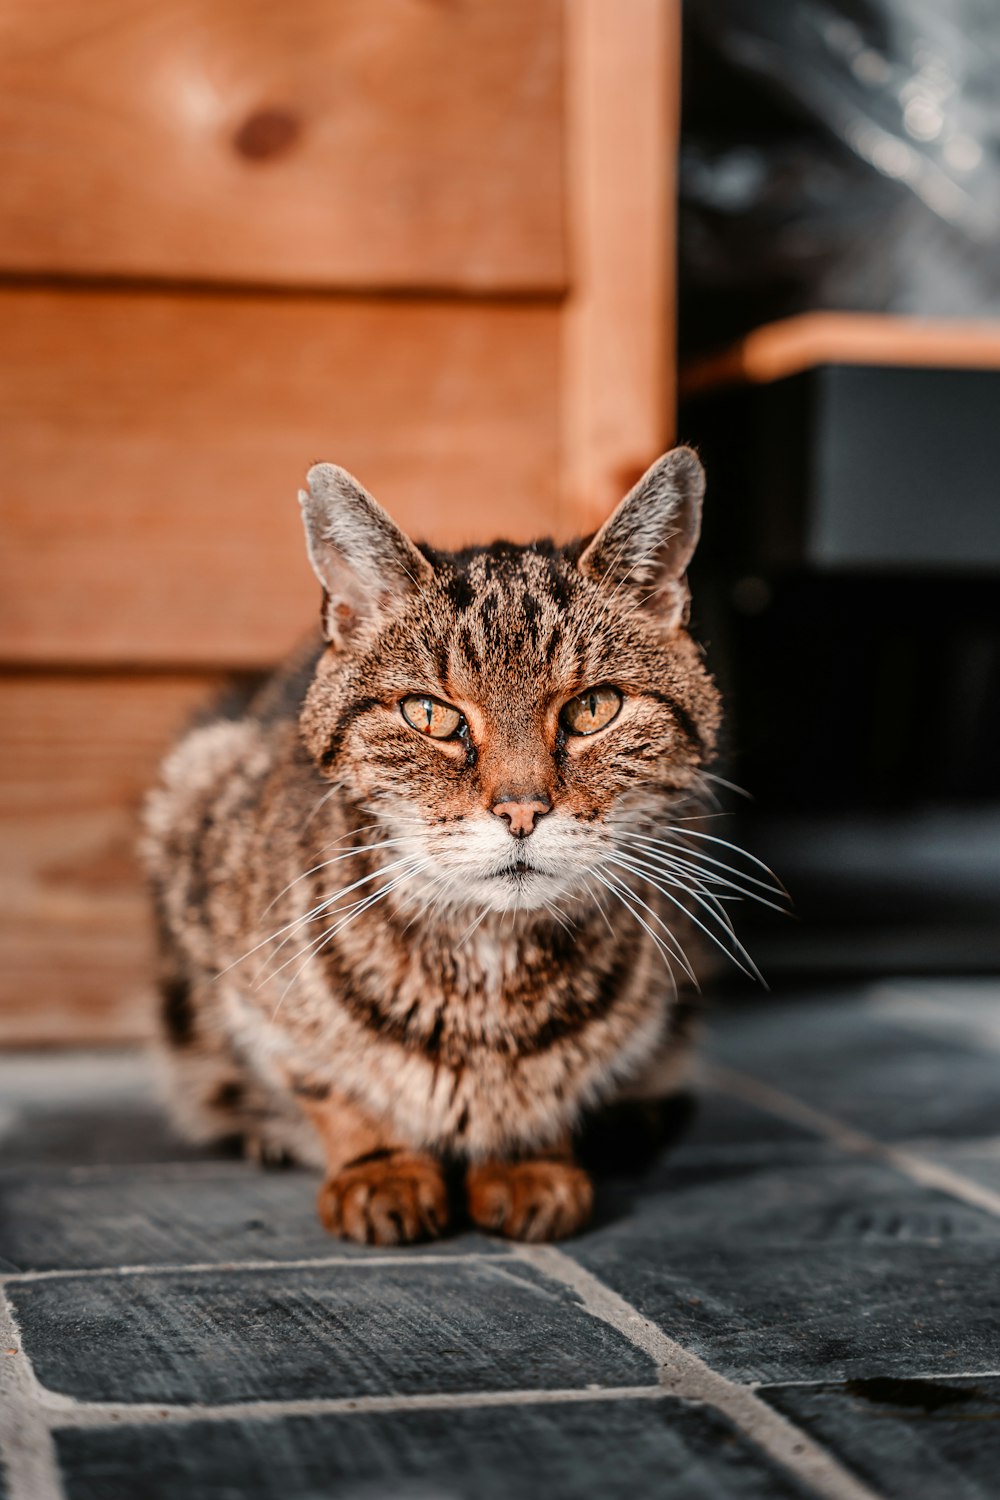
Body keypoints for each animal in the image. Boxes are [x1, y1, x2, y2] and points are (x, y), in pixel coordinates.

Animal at [144, 444, 758, 1242]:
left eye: (594, 708)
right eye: (430, 715)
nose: (522, 810)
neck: (490, 962)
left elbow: (563, 1083)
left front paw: (529, 1157)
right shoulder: (233, 947)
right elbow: (324, 1079)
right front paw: (380, 1166)